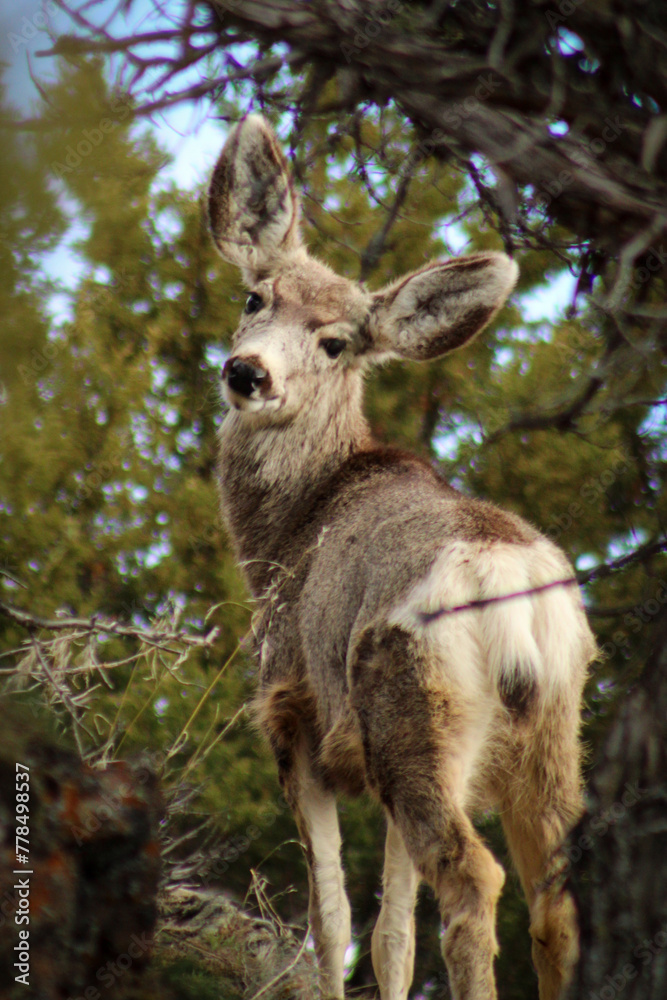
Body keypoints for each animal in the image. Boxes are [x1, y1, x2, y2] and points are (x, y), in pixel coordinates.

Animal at [207, 115, 596, 1000]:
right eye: (254, 297)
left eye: (334, 343)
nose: (248, 372)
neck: (285, 534)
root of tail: (511, 584)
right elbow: (390, 935)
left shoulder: (292, 715)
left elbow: (333, 922)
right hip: (550, 727)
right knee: (555, 900)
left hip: (407, 706)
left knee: (472, 877)